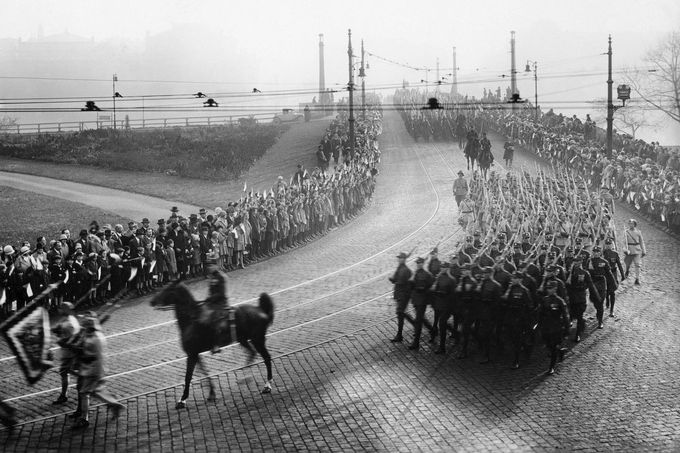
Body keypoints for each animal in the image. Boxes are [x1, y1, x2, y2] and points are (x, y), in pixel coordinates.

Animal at [151, 280, 274, 408]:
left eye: (168, 289)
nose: (152, 301)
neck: (191, 321)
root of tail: (261, 310)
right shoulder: (195, 354)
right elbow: (204, 373)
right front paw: (211, 394)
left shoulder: (192, 354)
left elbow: (188, 377)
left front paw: (182, 400)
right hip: (244, 340)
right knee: (252, 353)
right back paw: (245, 377)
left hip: (257, 340)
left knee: (266, 358)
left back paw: (267, 386)